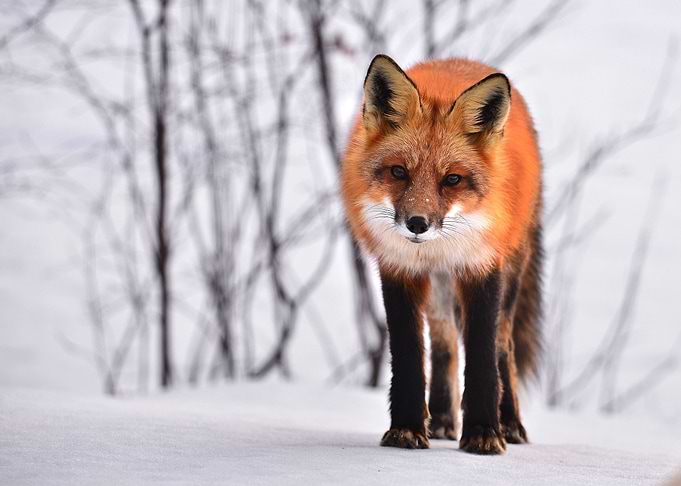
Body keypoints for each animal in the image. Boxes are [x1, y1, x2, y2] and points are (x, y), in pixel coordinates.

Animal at [340, 55, 543, 455]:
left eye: (452, 180)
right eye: (399, 172)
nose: (417, 224)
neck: (437, 247)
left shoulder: (482, 267)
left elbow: (482, 356)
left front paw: (483, 433)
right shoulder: (399, 269)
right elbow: (409, 355)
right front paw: (406, 429)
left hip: (510, 274)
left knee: (503, 346)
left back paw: (510, 423)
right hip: (438, 290)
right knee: (444, 343)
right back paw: (443, 419)